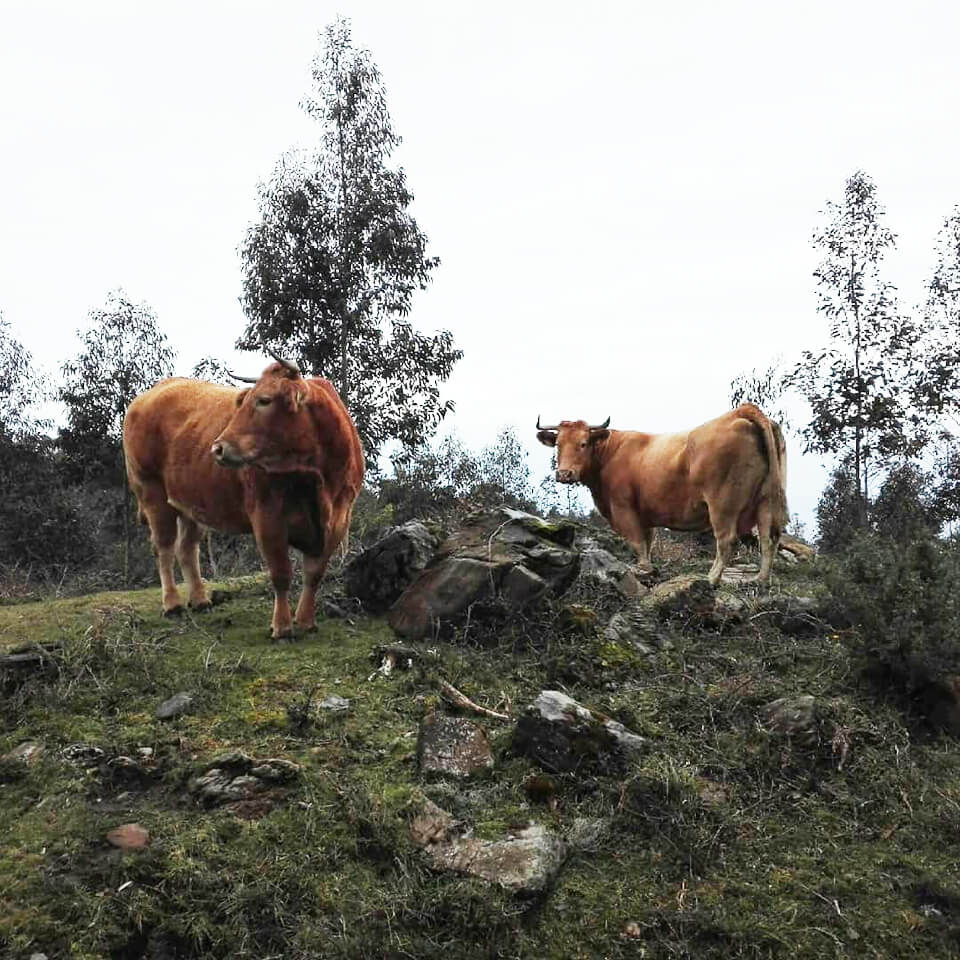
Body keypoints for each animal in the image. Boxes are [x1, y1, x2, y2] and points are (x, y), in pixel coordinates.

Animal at [536, 404, 784, 584]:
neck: (609, 453)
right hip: (766, 500)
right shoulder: (645, 516)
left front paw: (644, 570)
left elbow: (638, 544)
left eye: (584, 443)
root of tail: (742, 411)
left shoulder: (624, 508)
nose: (564, 474)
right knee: (768, 538)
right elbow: (647, 543)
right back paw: (760, 580)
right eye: (558, 444)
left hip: (722, 505)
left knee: (726, 540)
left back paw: (712, 578)